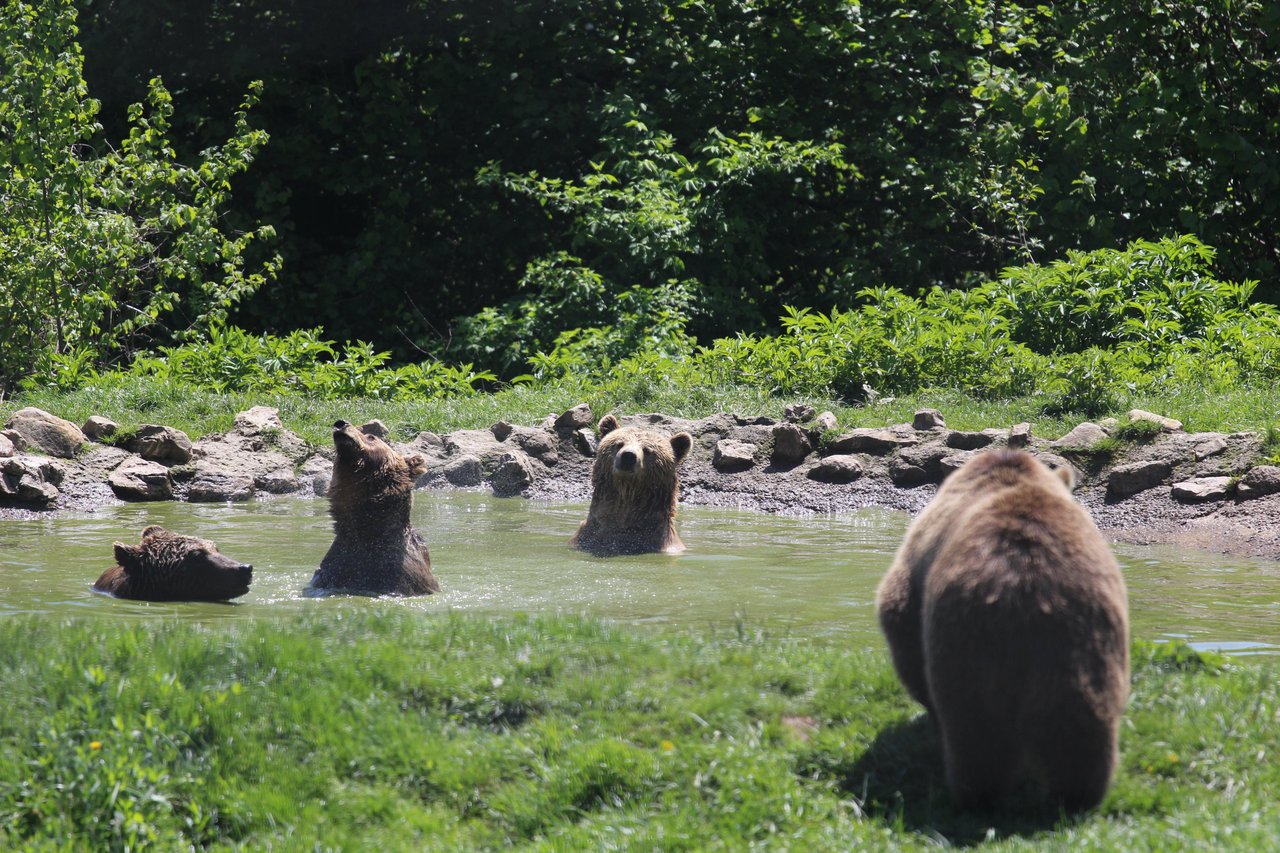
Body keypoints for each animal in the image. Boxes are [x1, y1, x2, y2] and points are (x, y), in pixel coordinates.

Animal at [875, 448, 1126, 809]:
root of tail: (1024, 584)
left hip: (967, 643)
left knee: (976, 733)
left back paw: (973, 792)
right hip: (1082, 639)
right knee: (1080, 725)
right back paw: (1079, 793)